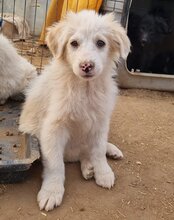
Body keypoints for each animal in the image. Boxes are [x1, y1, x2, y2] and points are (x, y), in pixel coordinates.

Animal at [19, 10, 130, 211]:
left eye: (101, 43)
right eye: (74, 43)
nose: (86, 66)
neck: (84, 89)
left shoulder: (100, 121)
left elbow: (98, 150)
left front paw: (103, 172)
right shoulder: (53, 128)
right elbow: (56, 164)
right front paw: (52, 191)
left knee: (90, 150)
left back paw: (104, 156)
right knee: (78, 155)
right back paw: (88, 167)